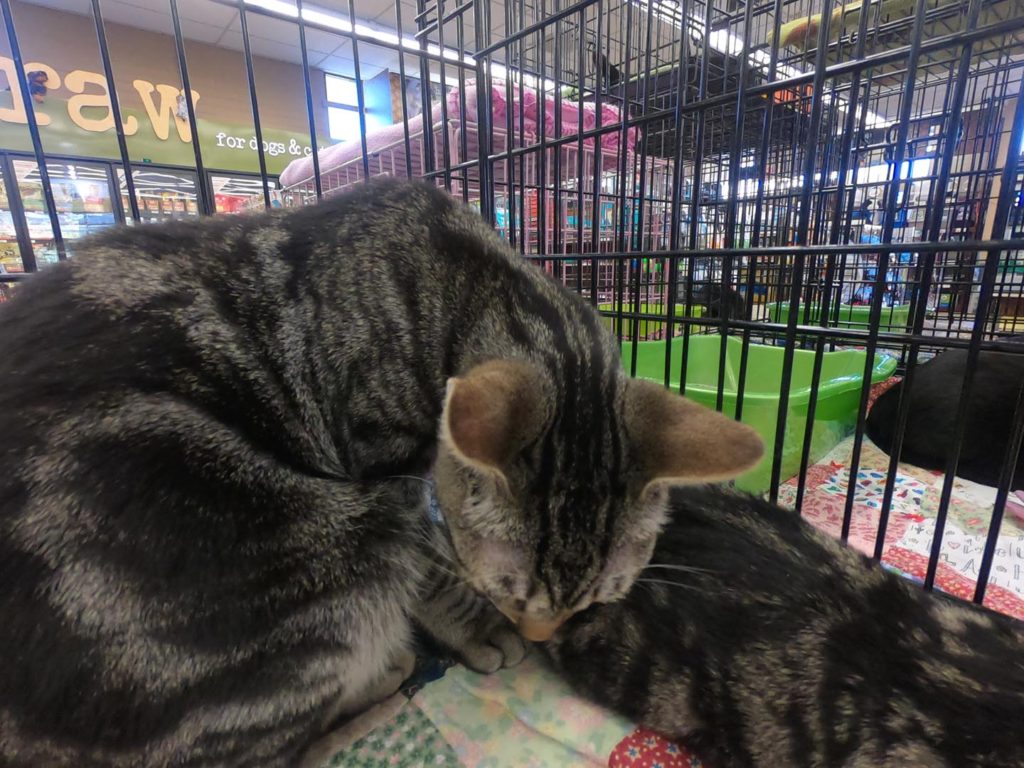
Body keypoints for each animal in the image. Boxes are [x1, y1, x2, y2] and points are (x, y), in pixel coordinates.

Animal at [0, 180, 761, 768]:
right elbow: (431, 573)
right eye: (508, 594)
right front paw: (478, 628)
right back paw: (382, 675)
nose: (543, 638)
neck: (459, 276)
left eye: (596, 601)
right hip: (330, 557)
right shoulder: (385, 464)